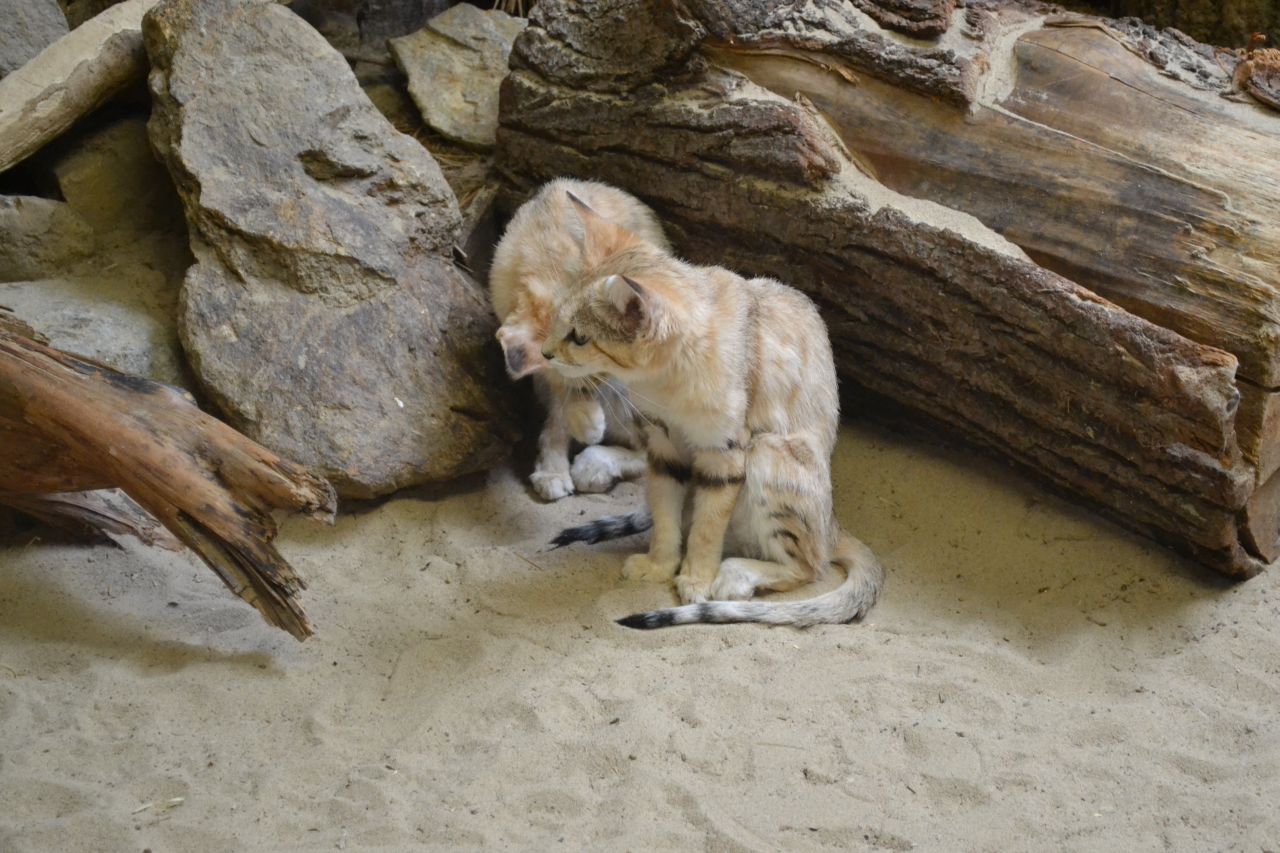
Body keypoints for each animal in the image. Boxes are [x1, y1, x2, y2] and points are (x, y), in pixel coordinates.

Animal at [490, 179, 669, 501]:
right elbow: (561, 403)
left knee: (649, 450)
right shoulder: (551, 374)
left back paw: (595, 466)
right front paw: (558, 461)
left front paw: (589, 429)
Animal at [543, 194, 883, 628]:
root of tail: (834, 527)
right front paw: (660, 565)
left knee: (811, 566)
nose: (545, 354)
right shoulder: (664, 446)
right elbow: (666, 517)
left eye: (580, 338)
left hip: (769, 452)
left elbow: (707, 528)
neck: (663, 382)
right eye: (558, 320)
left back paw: (736, 575)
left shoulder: (724, 455)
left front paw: (695, 579)